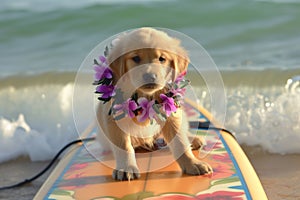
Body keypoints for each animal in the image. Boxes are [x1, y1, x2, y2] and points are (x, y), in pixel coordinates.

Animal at [95, 27, 211, 180]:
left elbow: (180, 142)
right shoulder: (113, 117)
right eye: (136, 58)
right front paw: (126, 168)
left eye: (162, 59)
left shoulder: (170, 112)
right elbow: (124, 146)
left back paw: (193, 139)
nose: (150, 76)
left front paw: (193, 164)